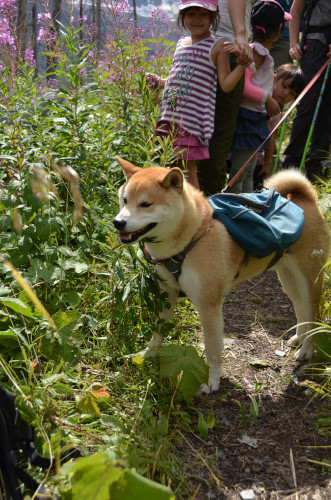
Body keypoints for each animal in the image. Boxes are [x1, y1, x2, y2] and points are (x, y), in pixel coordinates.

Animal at [113, 158, 330, 392]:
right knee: (301, 310)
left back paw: (306, 350)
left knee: (315, 316)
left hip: (309, 281)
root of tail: (305, 199)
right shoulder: (167, 293)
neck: (194, 235)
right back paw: (299, 338)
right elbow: (158, 332)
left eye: (146, 204)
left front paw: (212, 382)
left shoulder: (209, 306)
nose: (118, 222)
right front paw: (148, 355)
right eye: (124, 200)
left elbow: (212, 350)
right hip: (288, 280)